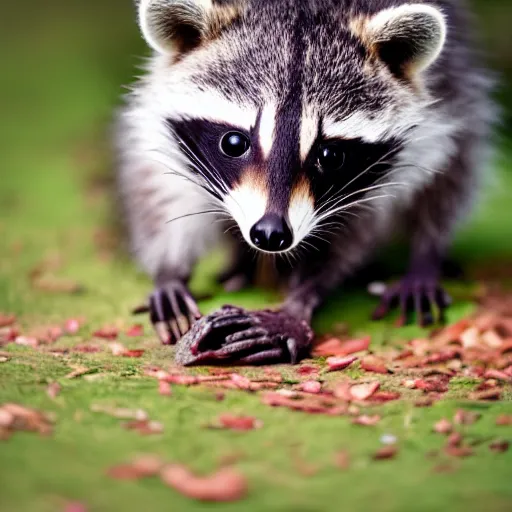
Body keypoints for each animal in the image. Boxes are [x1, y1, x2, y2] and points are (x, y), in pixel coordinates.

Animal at [117, 0, 496, 364]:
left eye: (330, 156)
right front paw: (170, 271)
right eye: (234, 143)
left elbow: (352, 235)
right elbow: (159, 189)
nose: (270, 234)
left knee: (449, 177)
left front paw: (298, 302)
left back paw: (425, 257)